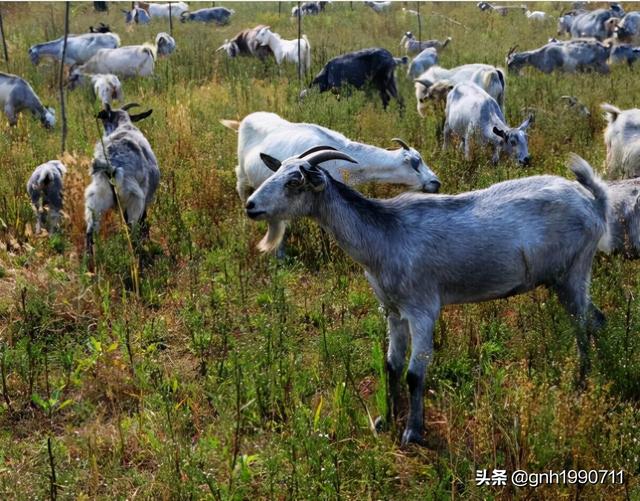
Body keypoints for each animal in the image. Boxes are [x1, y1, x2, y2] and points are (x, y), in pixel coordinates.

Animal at [84, 103, 159, 256]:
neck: (124, 126)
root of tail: (110, 166)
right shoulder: (143, 199)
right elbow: (144, 224)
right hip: (133, 201)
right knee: (132, 231)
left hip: (95, 199)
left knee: (89, 234)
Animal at [246, 146, 608, 444]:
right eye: (276, 172)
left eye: (295, 181)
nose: (251, 205)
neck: (385, 235)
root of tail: (593, 201)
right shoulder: (392, 311)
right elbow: (391, 366)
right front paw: (385, 420)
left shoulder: (422, 310)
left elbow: (414, 374)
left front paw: (413, 431)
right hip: (563, 279)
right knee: (597, 319)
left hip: (574, 272)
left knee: (581, 324)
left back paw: (580, 381)